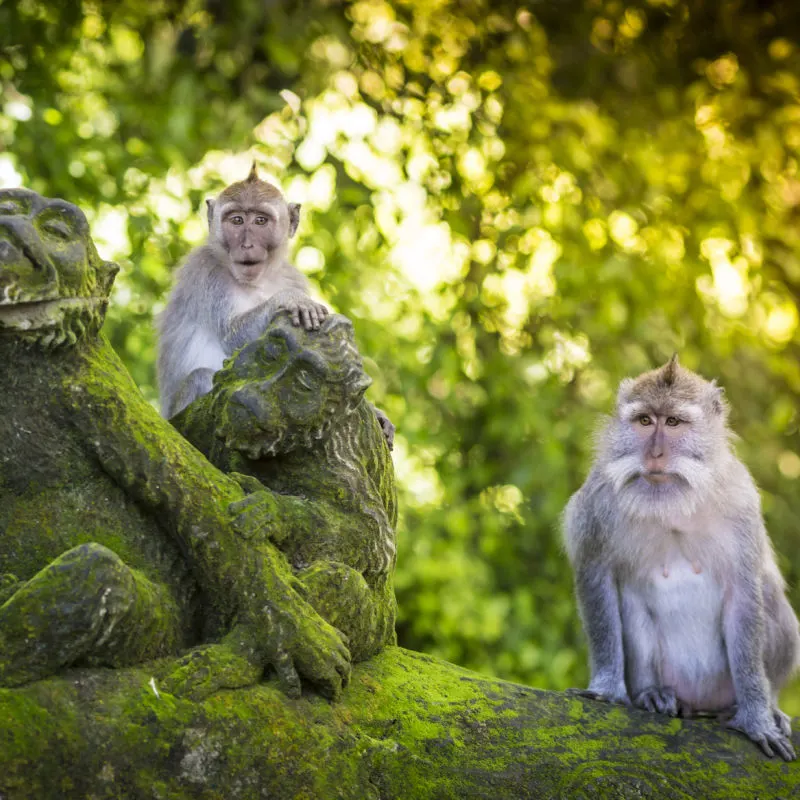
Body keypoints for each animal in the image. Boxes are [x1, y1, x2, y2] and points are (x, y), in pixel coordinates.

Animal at [158, 166, 330, 422]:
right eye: (237, 220)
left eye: (260, 221)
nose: (247, 245)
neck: (257, 282)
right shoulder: (207, 272)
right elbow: (231, 336)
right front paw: (288, 299)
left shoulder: (293, 277)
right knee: (202, 376)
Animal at [564, 356, 800, 764]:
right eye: (645, 421)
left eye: (673, 422)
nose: (655, 454)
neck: (672, 501)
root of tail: (700, 704)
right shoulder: (598, 502)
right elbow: (597, 577)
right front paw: (608, 688)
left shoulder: (741, 501)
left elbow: (745, 594)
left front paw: (757, 718)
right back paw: (653, 694)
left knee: (770, 597)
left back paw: (762, 706)